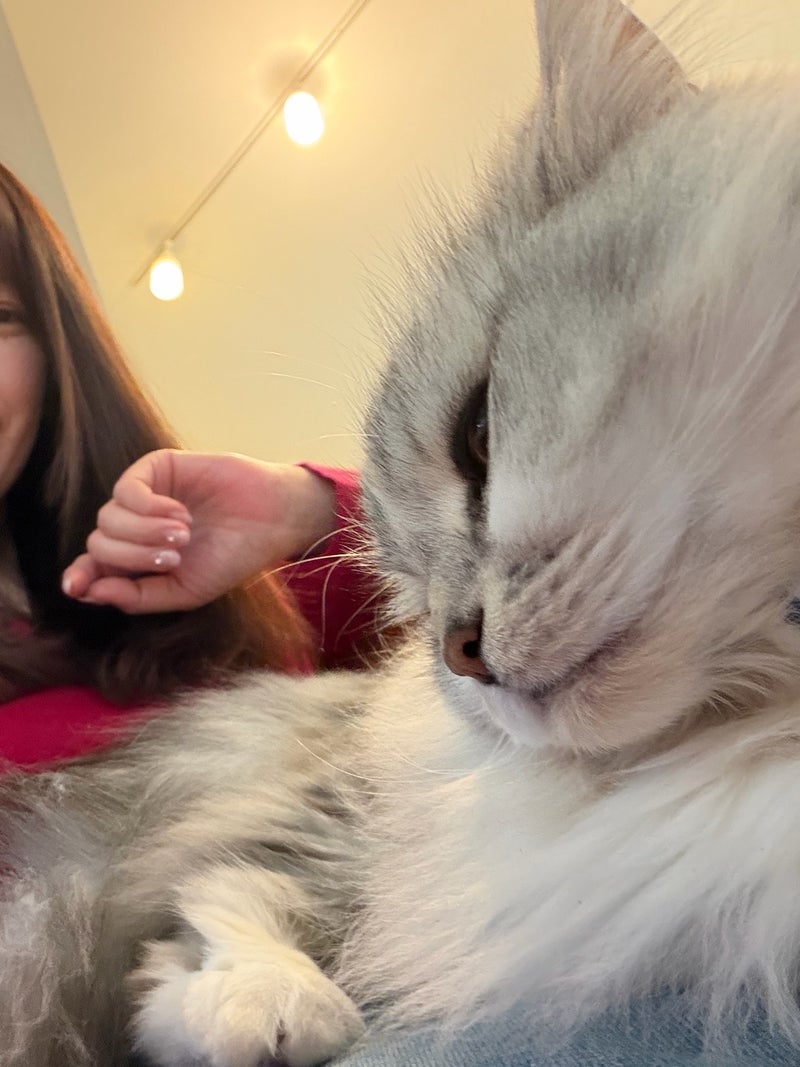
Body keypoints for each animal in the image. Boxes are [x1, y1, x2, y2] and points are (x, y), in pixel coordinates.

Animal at [4, 0, 800, 1064]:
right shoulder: (333, 801)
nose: (461, 654)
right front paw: (263, 1006)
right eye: (415, 597)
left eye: (480, 434)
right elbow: (221, 897)